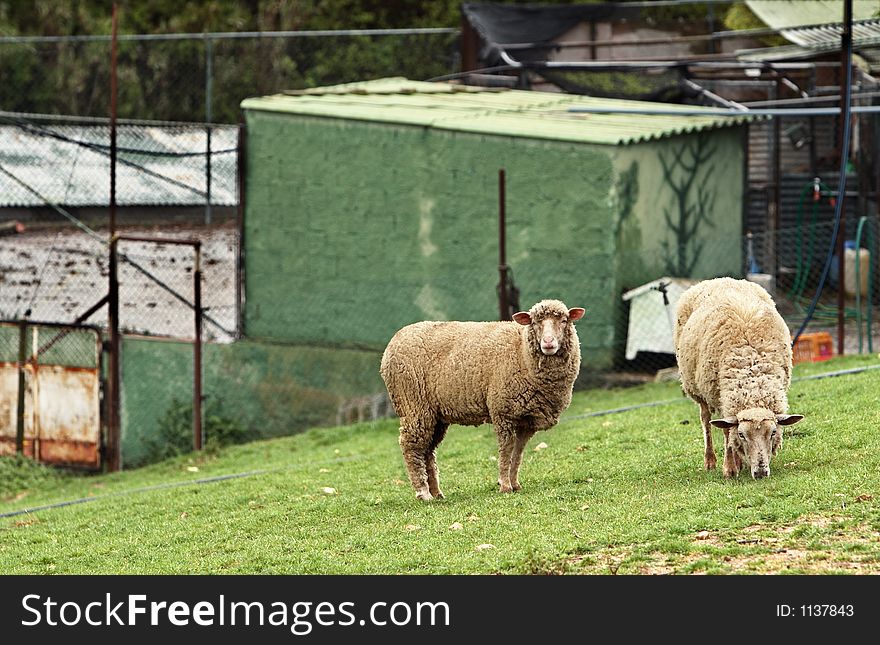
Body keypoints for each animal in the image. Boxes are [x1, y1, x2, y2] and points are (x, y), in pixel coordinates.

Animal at [378, 300, 584, 500]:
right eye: (534, 322)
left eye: (564, 321)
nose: (548, 343)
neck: (521, 351)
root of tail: (392, 344)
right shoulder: (503, 412)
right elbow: (506, 450)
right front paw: (505, 485)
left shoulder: (526, 420)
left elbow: (517, 453)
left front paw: (515, 484)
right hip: (413, 404)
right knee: (411, 446)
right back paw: (423, 492)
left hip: (434, 414)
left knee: (427, 450)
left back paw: (436, 493)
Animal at [672, 276, 804, 478]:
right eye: (742, 434)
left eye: (773, 432)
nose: (760, 472)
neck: (752, 378)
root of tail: (717, 279)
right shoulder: (721, 399)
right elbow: (727, 433)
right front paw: (729, 468)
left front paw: (740, 462)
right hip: (698, 389)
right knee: (706, 420)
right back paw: (710, 461)